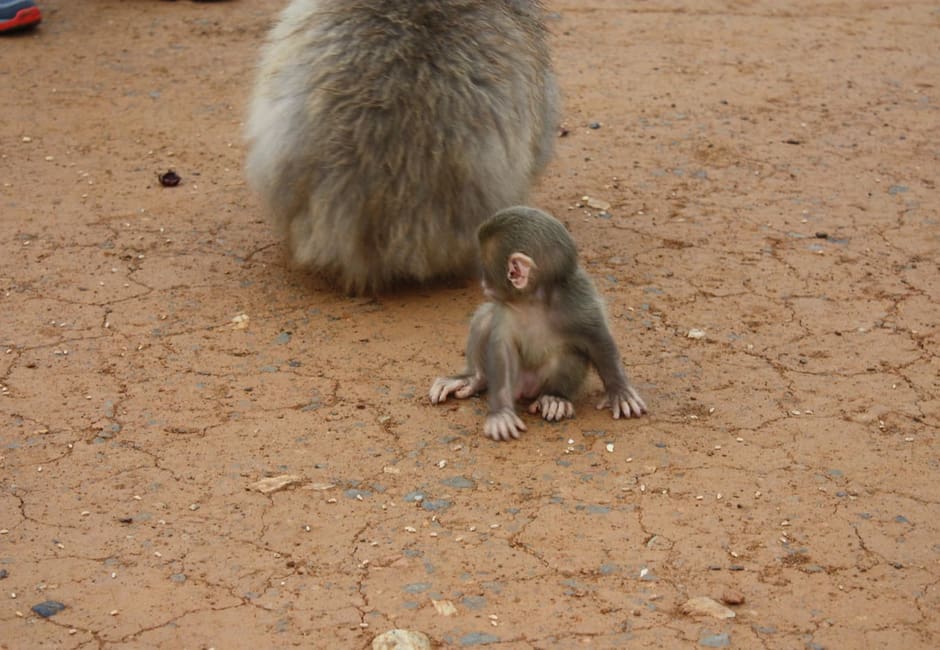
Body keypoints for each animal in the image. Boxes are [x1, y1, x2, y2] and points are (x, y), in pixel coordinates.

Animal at [429, 206, 647, 441]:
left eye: (484, 267)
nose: (482, 283)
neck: (535, 300)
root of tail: (526, 388)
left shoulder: (578, 301)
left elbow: (597, 339)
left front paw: (620, 391)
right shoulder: (506, 312)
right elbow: (502, 350)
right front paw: (500, 414)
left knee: (568, 353)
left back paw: (554, 398)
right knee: (485, 318)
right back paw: (474, 378)